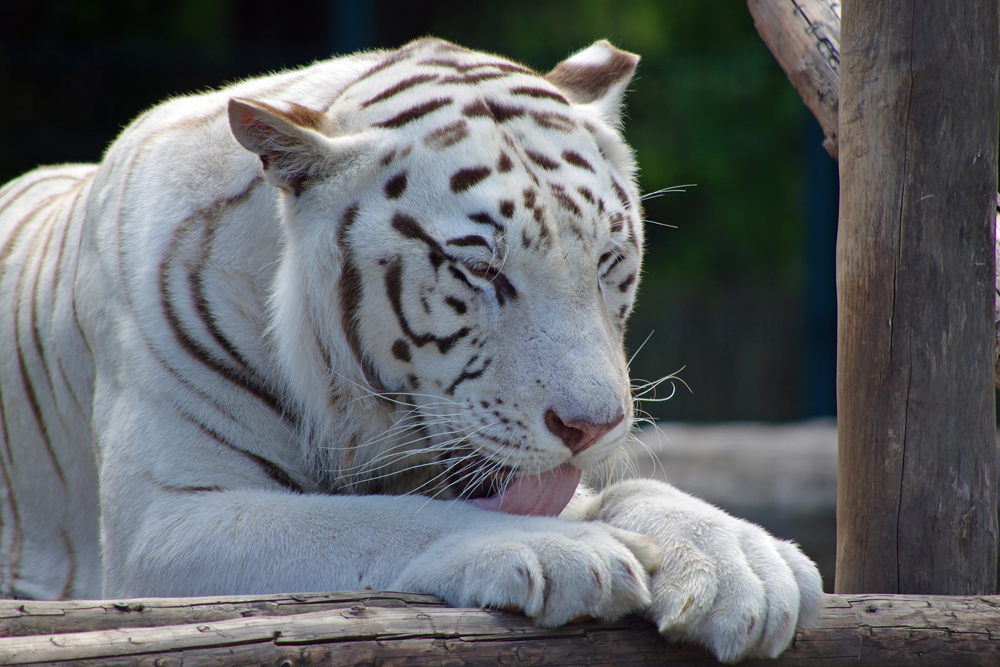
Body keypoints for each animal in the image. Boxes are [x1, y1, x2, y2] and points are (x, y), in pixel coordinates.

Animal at [0, 40, 820, 664]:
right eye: (482, 270)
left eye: (608, 261)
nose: (593, 427)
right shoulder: (163, 524)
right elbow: (381, 519)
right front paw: (560, 549)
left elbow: (618, 492)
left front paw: (738, 559)